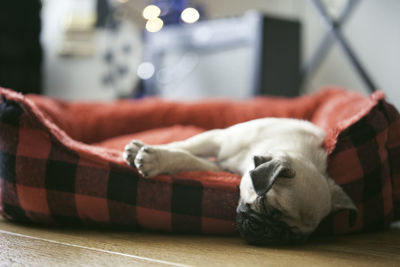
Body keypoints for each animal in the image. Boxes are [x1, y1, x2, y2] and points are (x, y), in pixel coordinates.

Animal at [122, 119, 356, 245]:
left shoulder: (219, 168)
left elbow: (187, 159)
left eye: (296, 239)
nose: (272, 234)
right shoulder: (216, 139)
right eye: (265, 205)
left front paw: (156, 158)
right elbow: (184, 146)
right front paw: (150, 154)